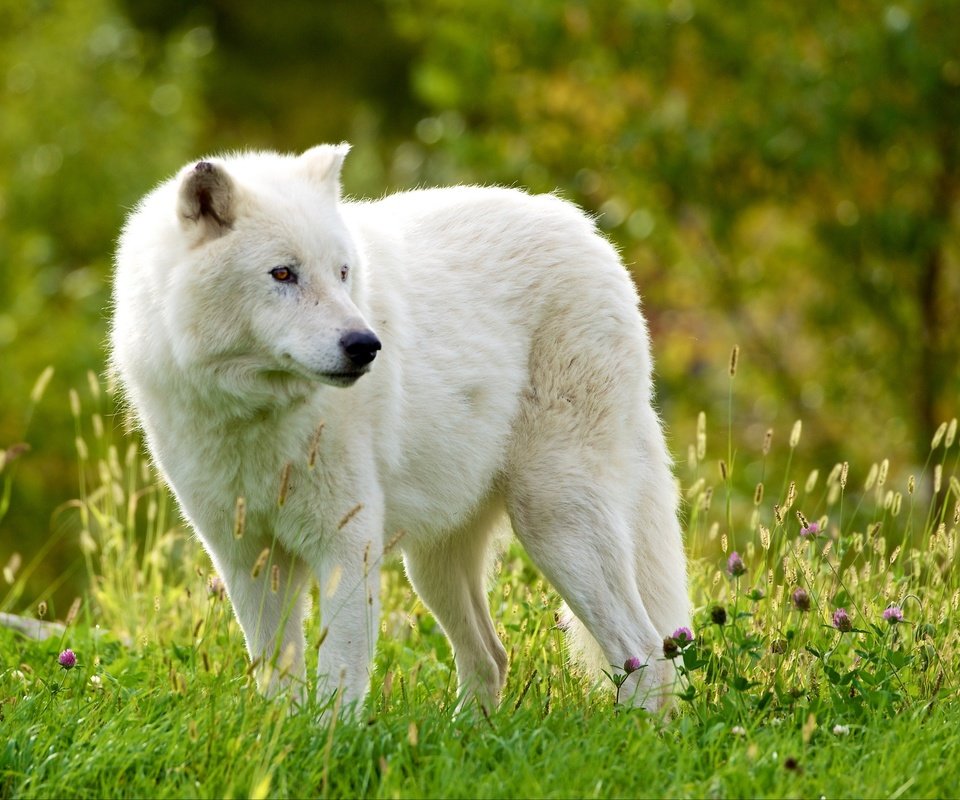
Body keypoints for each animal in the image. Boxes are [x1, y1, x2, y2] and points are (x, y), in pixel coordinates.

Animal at [112, 144, 688, 712]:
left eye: (343, 272)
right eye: (282, 274)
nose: (365, 345)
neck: (255, 417)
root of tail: (591, 234)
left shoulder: (347, 548)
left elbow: (338, 684)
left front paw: (327, 741)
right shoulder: (247, 560)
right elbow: (278, 682)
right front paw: (278, 739)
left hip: (554, 521)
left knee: (646, 653)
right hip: (432, 562)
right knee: (492, 657)